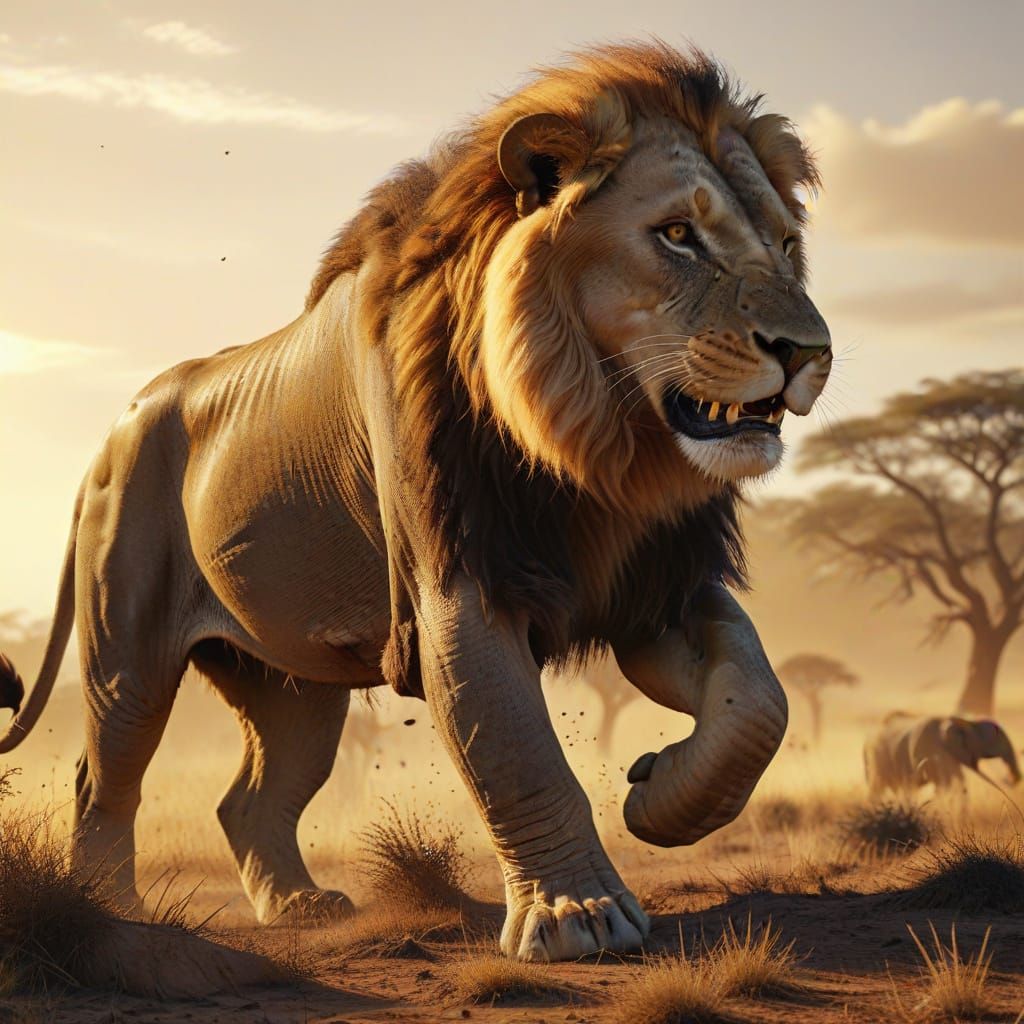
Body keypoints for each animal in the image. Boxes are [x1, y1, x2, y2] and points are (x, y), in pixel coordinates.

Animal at [0, 42, 831, 962]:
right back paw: (108, 906)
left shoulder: (655, 586)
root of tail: (111, 435)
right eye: (678, 234)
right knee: (102, 777)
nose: (809, 352)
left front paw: (659, 797)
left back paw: (300, 905)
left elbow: (759, 700)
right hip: (129, 652)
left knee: (250, 798)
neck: (599, 449)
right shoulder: (459, 585)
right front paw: (574, 914)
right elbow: (519, 755)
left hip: (294, 682)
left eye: (786, 244)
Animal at [864, 714, 1021, 798]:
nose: (1006, 780)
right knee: (877, 789)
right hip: (877, 760)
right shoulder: (932, 751)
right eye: (998, 737)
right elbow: (945, 783)